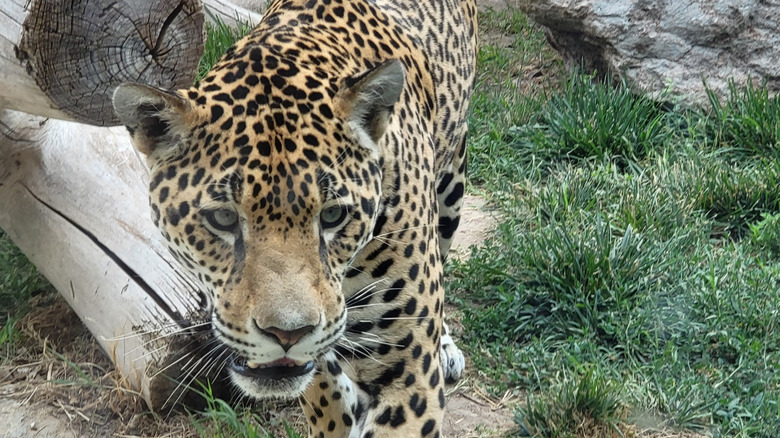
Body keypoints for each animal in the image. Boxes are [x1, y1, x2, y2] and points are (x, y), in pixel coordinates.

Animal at [112, 0, 476, 436]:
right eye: (223, 218)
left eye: (333, 215)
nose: (287, 334)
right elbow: (325, 397)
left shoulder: (406, 374)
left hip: (452, 184)